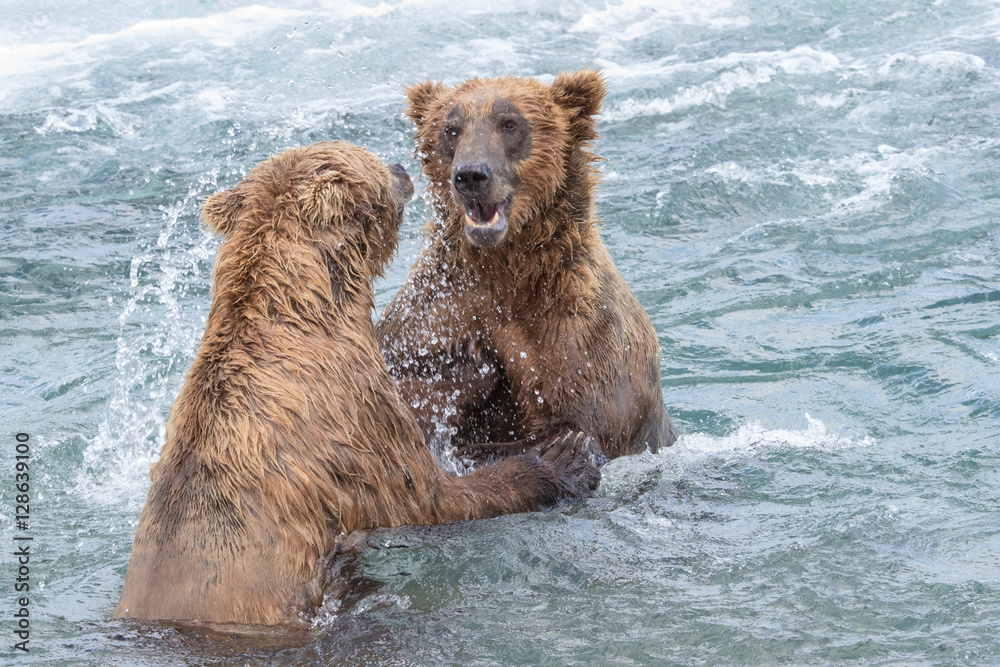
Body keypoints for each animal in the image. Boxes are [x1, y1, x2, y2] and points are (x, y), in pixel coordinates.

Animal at [112, 141, 599, 626]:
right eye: (370, 159)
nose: (401, 167)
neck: (309, 308)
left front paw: (472, 370)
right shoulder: (353, 415)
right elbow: (429, 494)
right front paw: (565, 457)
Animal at [376, 70, 679, 463]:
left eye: (509, 123)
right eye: (451, 129)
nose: (471, 175)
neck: (508, 272)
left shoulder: (582, 338)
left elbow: (573, 426)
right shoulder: (434, 312)